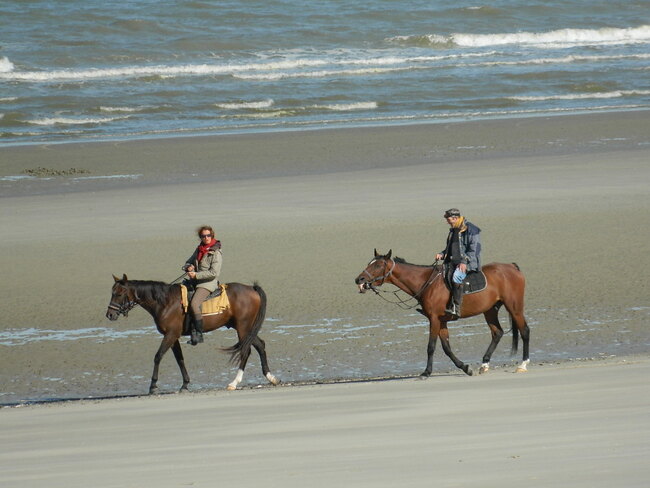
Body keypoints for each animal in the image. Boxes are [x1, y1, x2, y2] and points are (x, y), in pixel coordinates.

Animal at [105, 276, 278, 394]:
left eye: (119, 294)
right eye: (111, 292)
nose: (110, 315)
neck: (165, 302)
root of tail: (252, 288)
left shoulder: (170, 335)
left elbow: (158, 356)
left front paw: (153, 385)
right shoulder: (173, 337)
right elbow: (180, 359)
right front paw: (185, 384)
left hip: (243, 328)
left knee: (246, 350)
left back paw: (234, 382)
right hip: (246, 329)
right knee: (260, 345)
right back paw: (270, 377)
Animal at [354, 250, 528, 376]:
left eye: (377, 266)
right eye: (369, 264)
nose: (359, 279)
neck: (426, 282)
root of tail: (512, 267)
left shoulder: (434, 319)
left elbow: (431, 346)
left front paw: (426, 372)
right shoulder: (442, 320)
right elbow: (446, 348)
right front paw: (465, 367)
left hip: (514, 307)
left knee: (524, 330)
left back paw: (523, 364)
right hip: (490, 310)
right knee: (497, 333)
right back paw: (484, 364)